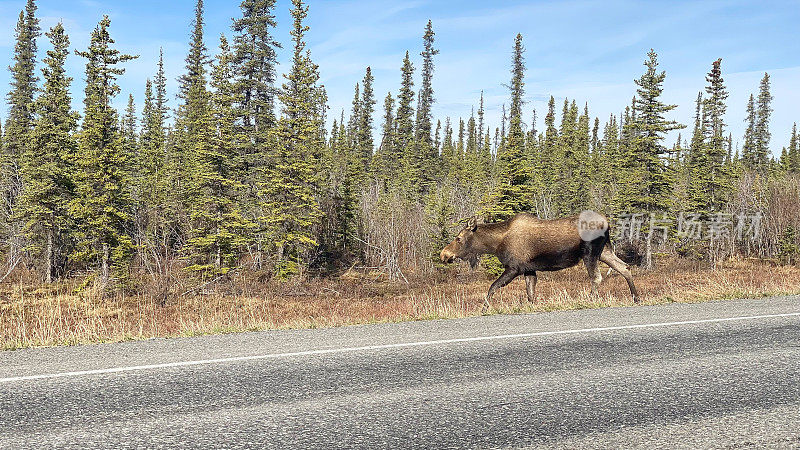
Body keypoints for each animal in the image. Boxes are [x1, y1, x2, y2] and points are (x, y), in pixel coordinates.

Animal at [440, 212, 640, 310]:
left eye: (458, 238)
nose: (444, 254)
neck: (495, 244)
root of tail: (608, 224)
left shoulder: (514, 267)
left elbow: (492, 287)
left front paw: (484, 309)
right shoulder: (528, 269)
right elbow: (530, 294)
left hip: (590, 252)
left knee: (596, 277)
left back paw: (591, 300)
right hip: (604, 251)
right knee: (624, 267)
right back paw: (636, 298)